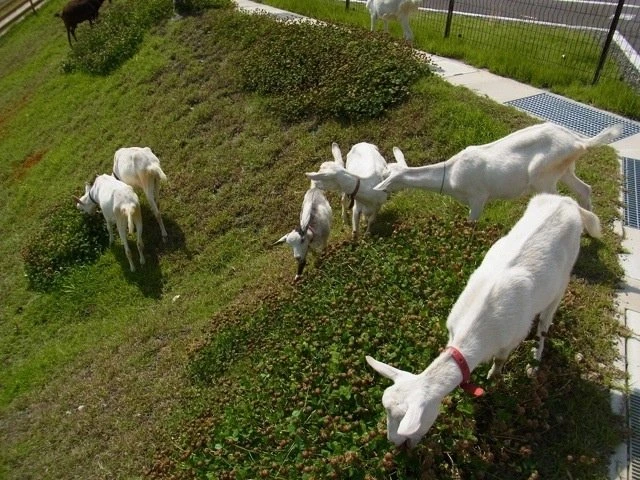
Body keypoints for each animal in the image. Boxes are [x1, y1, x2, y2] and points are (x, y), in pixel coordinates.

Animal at [366, 193, 601, 448]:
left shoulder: (509, 340)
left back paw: (535, 361)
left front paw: (493, 380)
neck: (475, 332)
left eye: (407, 422)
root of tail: (568, 202)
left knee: (545, 323)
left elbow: (499, 363)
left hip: (563, 280)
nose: (392, 442)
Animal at [373, 122, 623, 221]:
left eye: (386, 178)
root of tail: (580, 142)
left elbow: (472, 222)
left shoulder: (478, 197)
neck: (451, 173)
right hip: (565, 170)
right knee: (584, 189)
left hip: (543, 177)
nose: (381, 194)